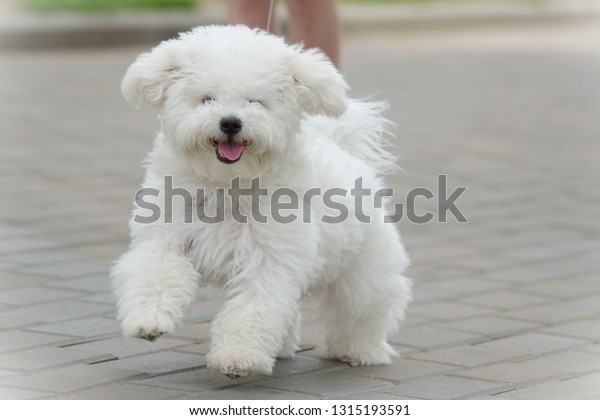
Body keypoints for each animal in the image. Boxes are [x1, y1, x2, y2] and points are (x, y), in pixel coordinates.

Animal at [111, 25, 412, 380]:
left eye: (255, 101)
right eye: (207, 98)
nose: (230, 122)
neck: (228, 185)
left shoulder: (269, 260)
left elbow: (253, 308)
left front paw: (238, 357)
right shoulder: (166, 237)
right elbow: (156, 273)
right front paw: (148, 319)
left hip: (364, 269)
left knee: (363, 309)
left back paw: (358, 351)